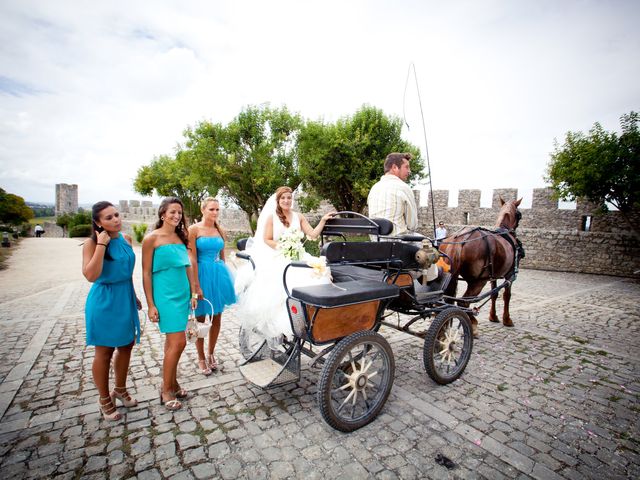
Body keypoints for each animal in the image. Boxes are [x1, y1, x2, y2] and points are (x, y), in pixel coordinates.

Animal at [440, 197, 524, 336]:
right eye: (519, 215)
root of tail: (461, 240)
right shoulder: (509, 275)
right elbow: (507, 296)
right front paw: (507, 319)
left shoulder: (494, 276)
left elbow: (494, 294)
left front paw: (493, 316)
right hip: (478, 281)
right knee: (463, 302)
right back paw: (473, 325)